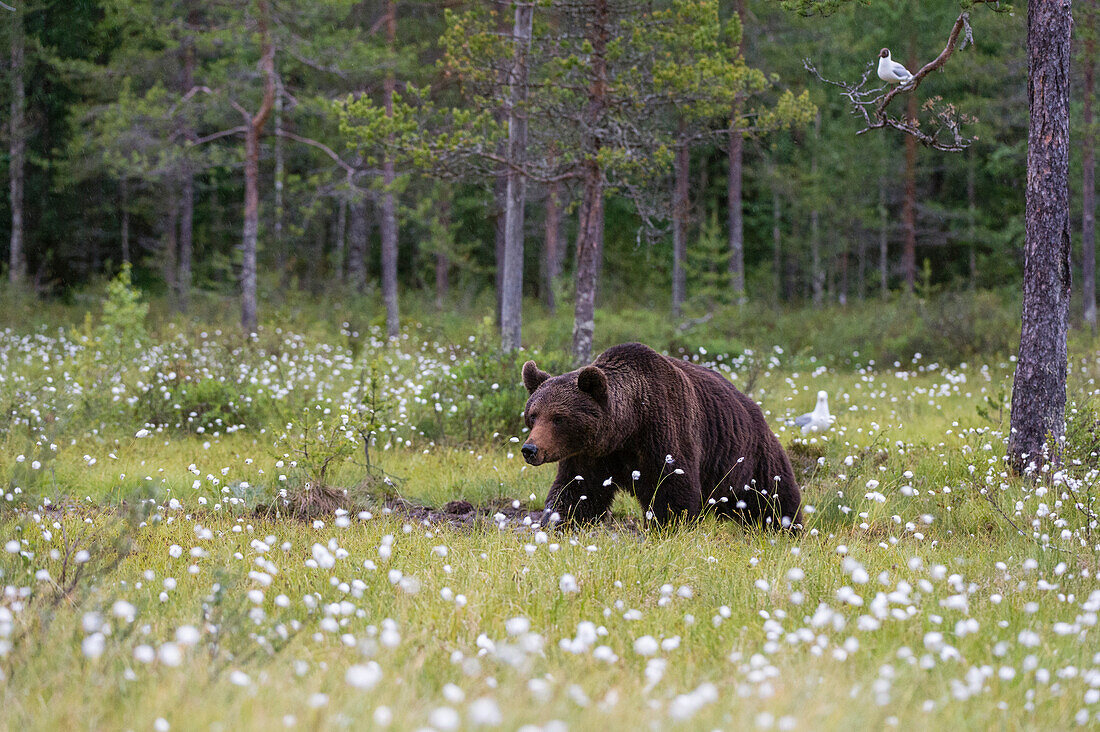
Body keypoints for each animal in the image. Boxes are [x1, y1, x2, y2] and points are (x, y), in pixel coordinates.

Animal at [519, 339, 805, 528]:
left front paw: (667, 527)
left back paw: (787, 527)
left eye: (558, 418)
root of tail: (756, 409)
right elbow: (575, 491)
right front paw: (557, 523)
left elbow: (673, 492)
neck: (628, 427)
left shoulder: (663, 433)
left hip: (749, 460)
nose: (530, 449)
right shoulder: (592, 455)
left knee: (773, 499)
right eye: (533, 414)